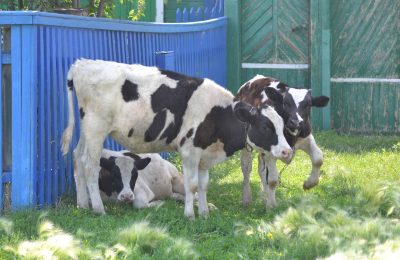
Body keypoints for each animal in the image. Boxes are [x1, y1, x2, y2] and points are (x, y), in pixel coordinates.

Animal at [61, 58, 292, 217]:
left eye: (282, 125)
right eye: (265, 126)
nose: (287, 151)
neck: (217, 114)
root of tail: (81, 64)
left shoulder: (204, 155)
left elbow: (203, 185)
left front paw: (204, 213)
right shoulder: (189, 151)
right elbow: (192, 185)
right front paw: (190, 215)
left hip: (88, 131)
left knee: (77, 158)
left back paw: (83, 204)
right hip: (96, 129)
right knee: (90, 166)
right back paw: (98, 208)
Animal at [236, 74, 330, 208]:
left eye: (308, 105)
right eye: (286, 103)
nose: (295, 122)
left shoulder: (306, 137)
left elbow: (318, 158)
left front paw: (309, 183)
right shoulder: (270, 152)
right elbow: (273, 180)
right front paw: (271, 205)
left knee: (261, 168)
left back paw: (264, 194)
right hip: (246, 143)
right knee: (246, 167)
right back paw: (247, 197)